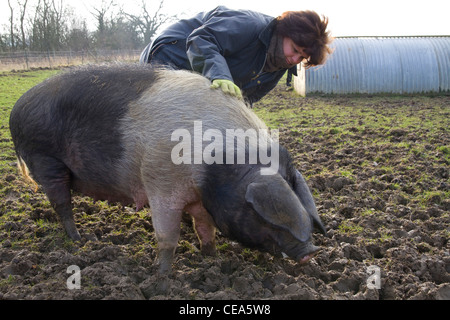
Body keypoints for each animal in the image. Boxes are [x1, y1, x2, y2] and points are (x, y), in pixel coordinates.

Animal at [9, 63, 326, 274]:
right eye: (264, 216)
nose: (311, 252)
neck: (214, 165)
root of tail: (17, 107)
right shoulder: (160, 181)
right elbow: (167, 237)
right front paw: (160, 278)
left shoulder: (201, 198)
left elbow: (204, 228)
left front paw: (211, 259)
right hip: (44, 158)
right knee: (62, 203)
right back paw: (81, 240)